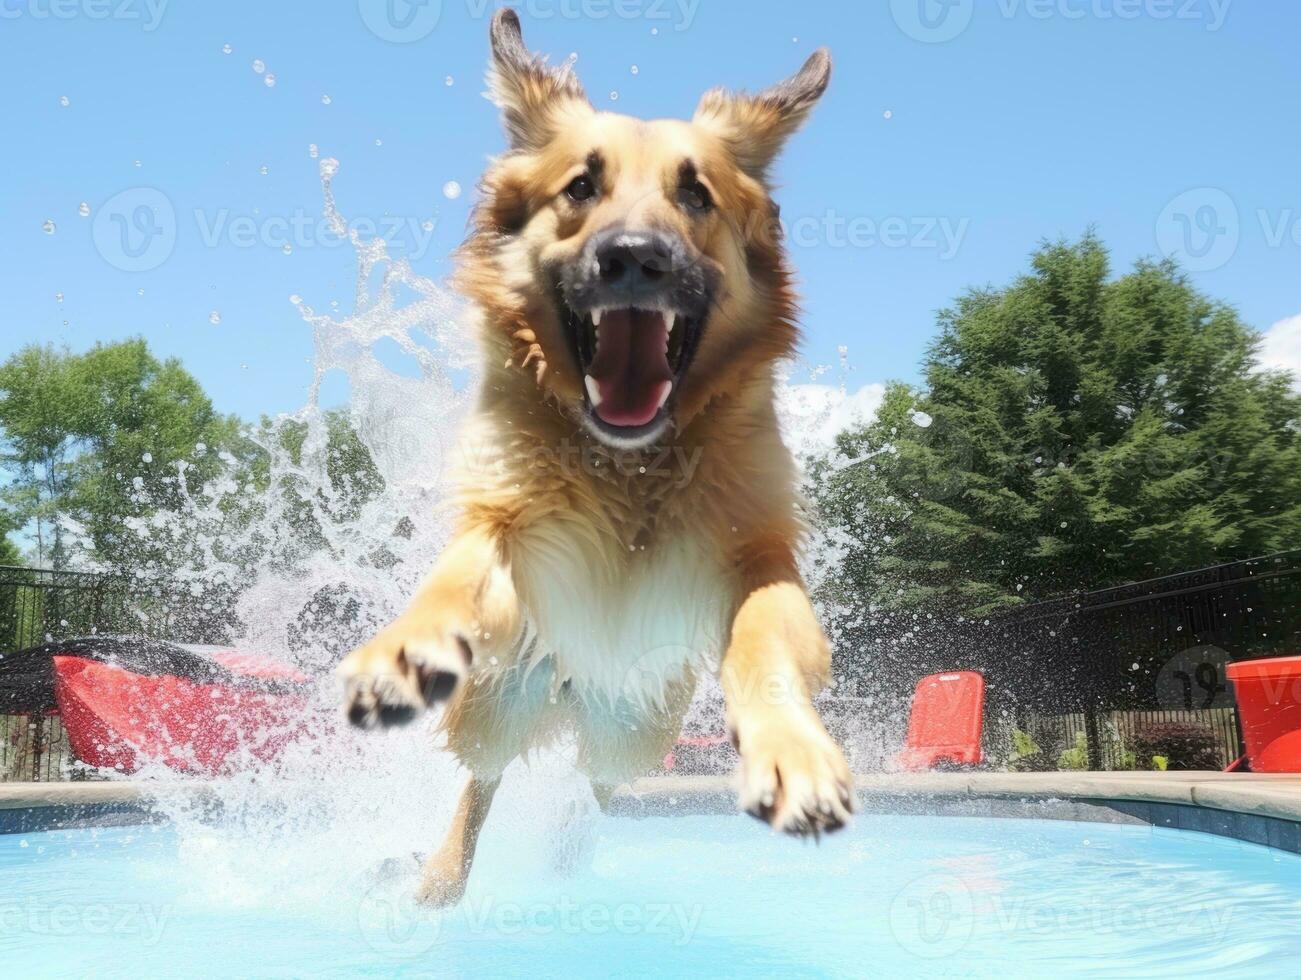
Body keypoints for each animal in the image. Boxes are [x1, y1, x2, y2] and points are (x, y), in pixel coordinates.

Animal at [338, 11, 853, 905]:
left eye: (695, 194)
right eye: (581, 186)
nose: (635, 256)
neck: (629, 464)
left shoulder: (759, 558)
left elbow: (762, 639)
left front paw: (790, 751)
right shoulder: (505, 525)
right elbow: (455, 579)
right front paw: (406, 646)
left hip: (637, 727)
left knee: (596, 784)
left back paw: (568, 846)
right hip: (496, 704)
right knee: (484, 778)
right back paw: (442, 874)